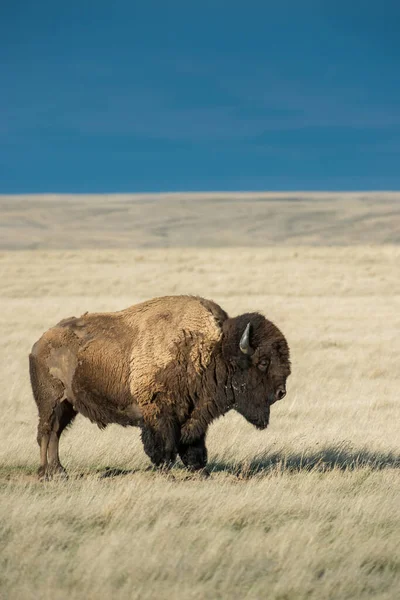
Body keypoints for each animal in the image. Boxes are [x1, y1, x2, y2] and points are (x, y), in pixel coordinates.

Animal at [29, 296, 290, 478]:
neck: (211, 349)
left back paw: (59, 471)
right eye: (263, 361)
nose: (281, 392)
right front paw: (168, 473)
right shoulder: (159, 413)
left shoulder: (195, 415)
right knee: (46, 432)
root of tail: (39, 343)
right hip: (50, 402)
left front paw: (202, 472)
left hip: (68, 406)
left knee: (55, 433)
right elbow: (163, 445)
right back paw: (46, 474)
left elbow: (194, 446)